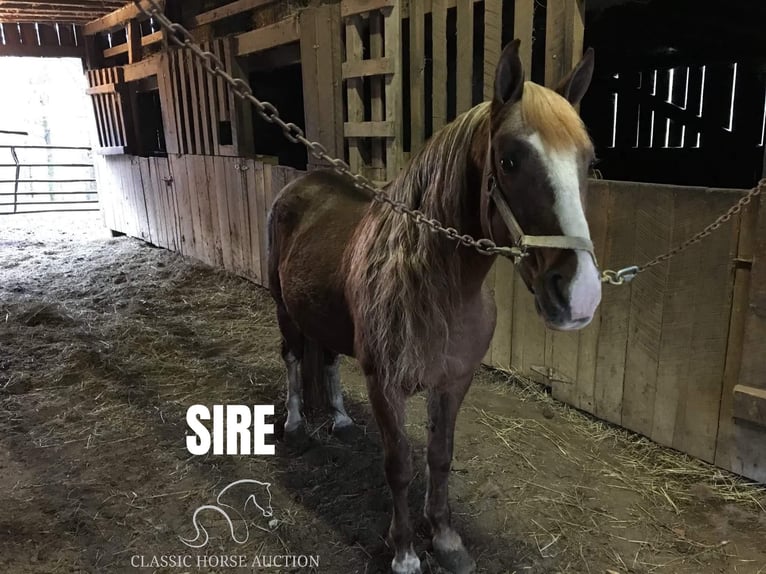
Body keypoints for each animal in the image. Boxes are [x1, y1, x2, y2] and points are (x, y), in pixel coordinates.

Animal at [268, 41, 600, 574]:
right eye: (509, 161)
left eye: (588, 162)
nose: (580, 294)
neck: (437, 286)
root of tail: (300, 187)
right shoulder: (386, 385)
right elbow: (400, 465)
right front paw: (405, 551)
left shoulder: (453, 381)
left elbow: (440, 457)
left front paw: (445, 538)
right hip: (283, 308)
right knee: (294, 356)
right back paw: (297, 423)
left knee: (328, 357)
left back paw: (339, 419)